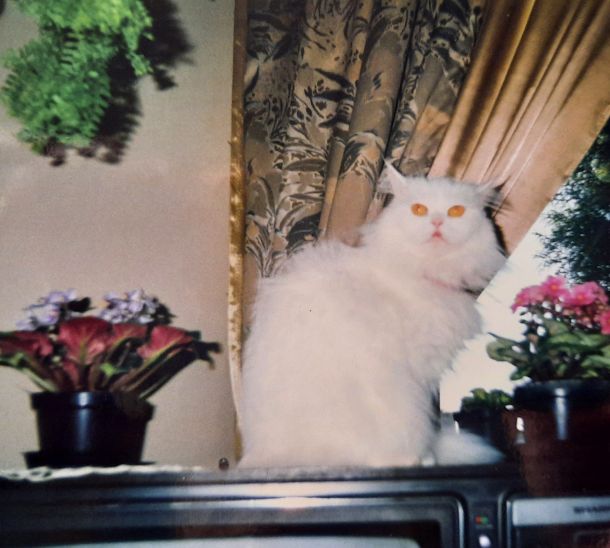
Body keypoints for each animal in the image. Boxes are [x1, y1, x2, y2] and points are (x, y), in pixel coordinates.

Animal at [239, 164, 506, 468]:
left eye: (456, 211)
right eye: (419, 210)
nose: (437, 223)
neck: (424, 272)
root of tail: (260, 453)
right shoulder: (420, 371)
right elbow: (429, 422)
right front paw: (427, 456)